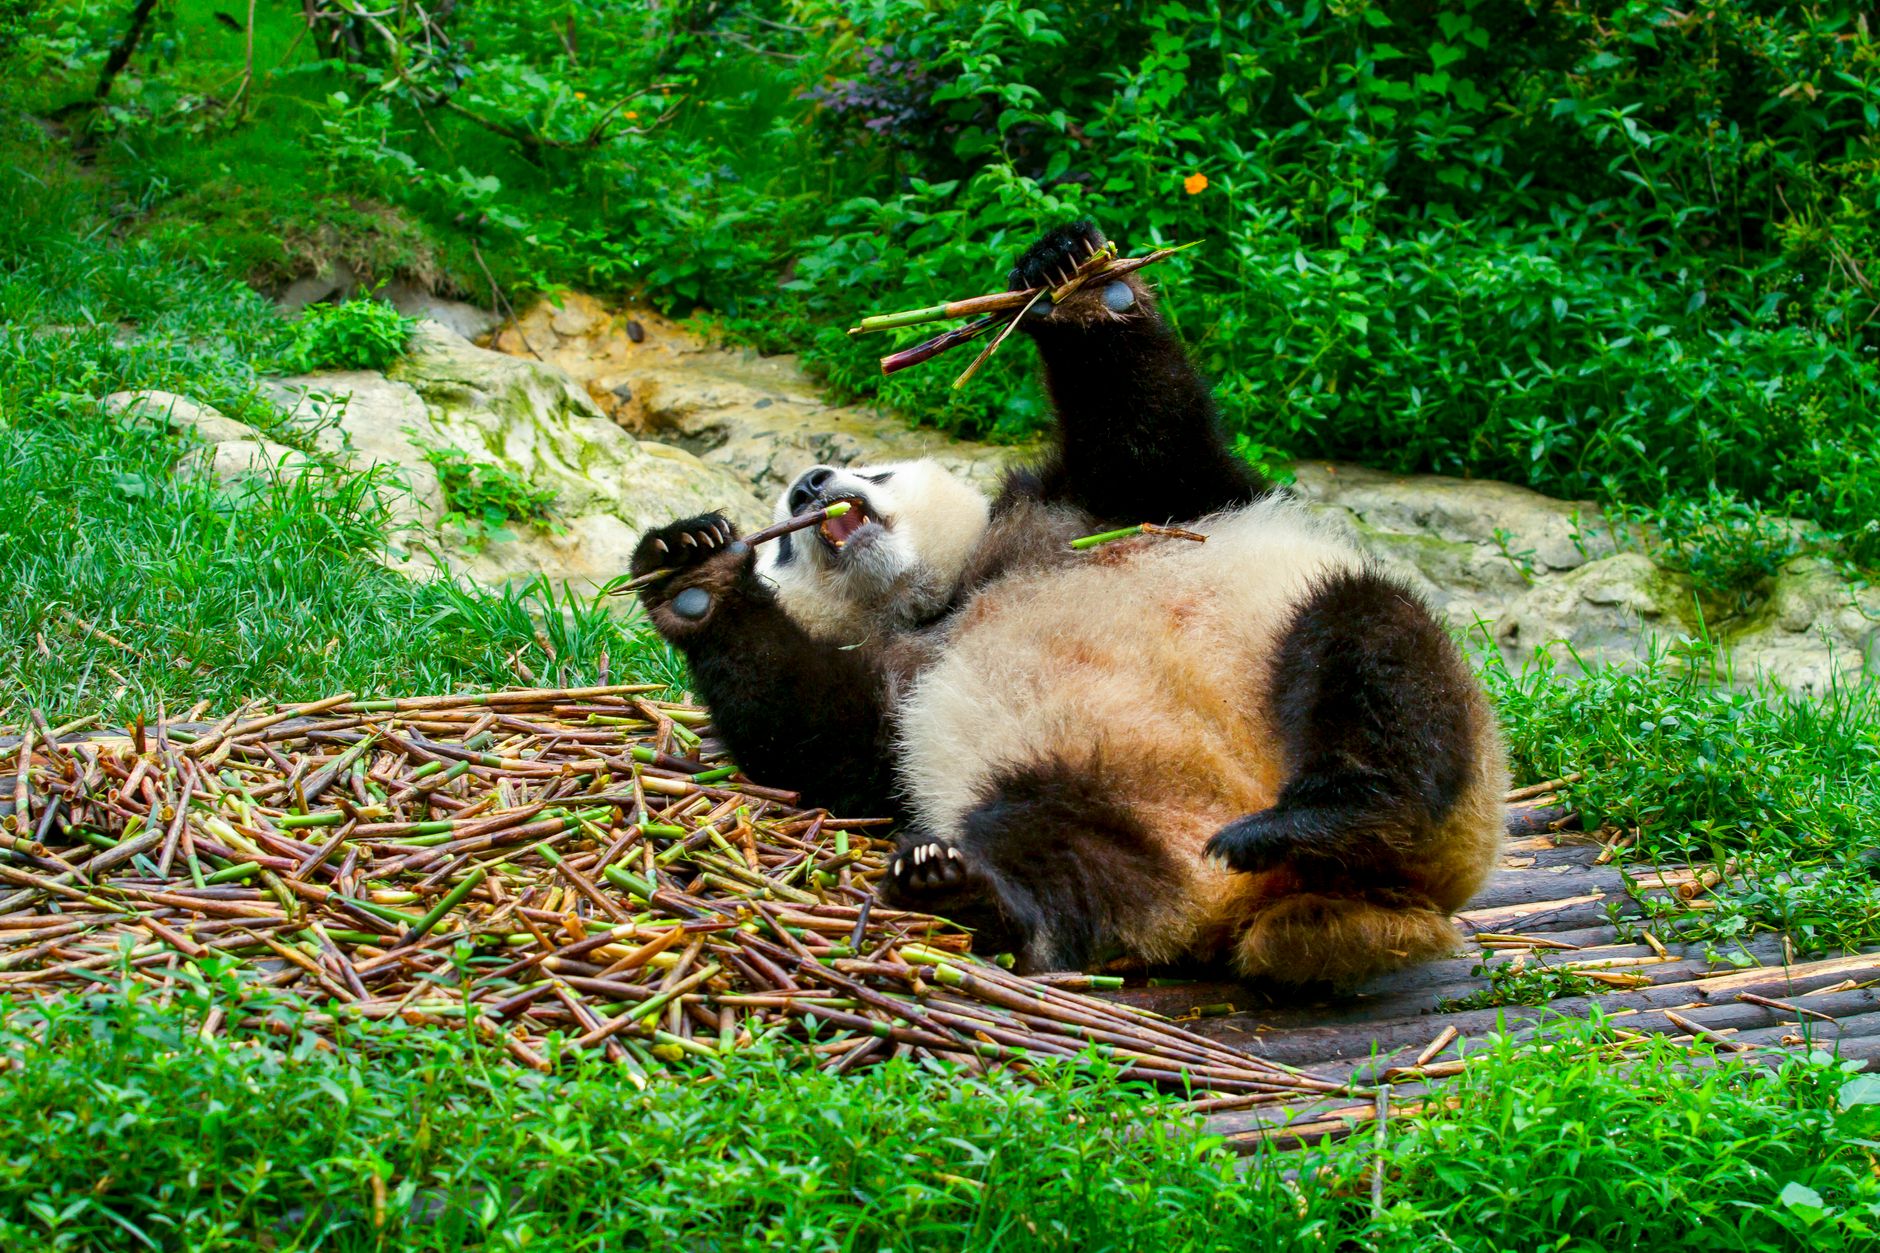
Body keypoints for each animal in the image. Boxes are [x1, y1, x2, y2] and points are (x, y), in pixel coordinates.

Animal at [628, 221, 1507, 985]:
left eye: (872, 471)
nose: (812, 486)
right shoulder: (897, 686)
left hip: (1331, 665)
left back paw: (1345, 809)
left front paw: (1073, 279)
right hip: (1077, 777)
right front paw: (693, 574)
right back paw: (964, 888)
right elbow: (814, 733)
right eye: (780, 546)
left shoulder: (1097, 509)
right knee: (1056, 848)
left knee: (1370, 647)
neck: (945, 595)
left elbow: (1151, 438)